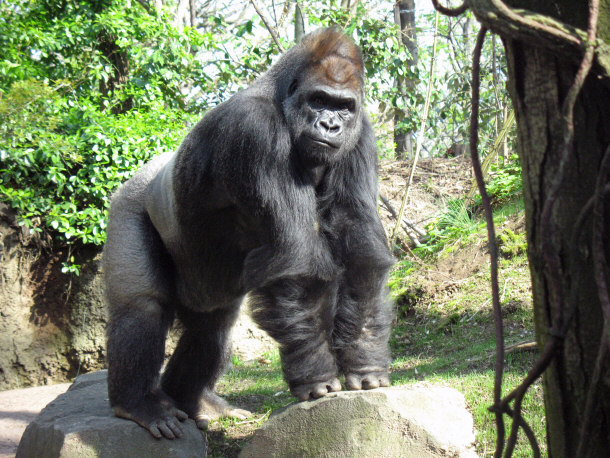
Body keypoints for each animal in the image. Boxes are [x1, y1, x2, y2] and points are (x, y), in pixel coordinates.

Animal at [102, 26, 392, 440]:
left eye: (344, 107)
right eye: (319, 100)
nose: (330, 125)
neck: (282, 98)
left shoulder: (362, 133)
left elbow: (359, 244)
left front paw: (365, 358)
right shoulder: (255, 129)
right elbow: (294, 255)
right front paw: (315, 373)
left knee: (213, 328)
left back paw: (192, 400)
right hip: (128, 203)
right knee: (142, 306)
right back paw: (139, 403)